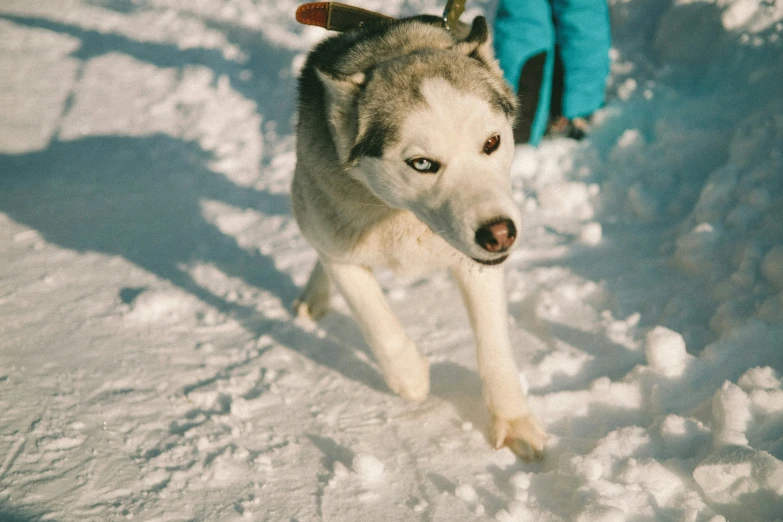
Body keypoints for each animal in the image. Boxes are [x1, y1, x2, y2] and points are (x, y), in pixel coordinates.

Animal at [290, 14, 548, 458]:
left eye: (491, 142)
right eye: (423, 163)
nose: (500, 234)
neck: (403, 217)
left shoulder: (478, 264)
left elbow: (493, 345)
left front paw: (512, 419)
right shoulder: (343, 255)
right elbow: (377, 319)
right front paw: (410, 376)